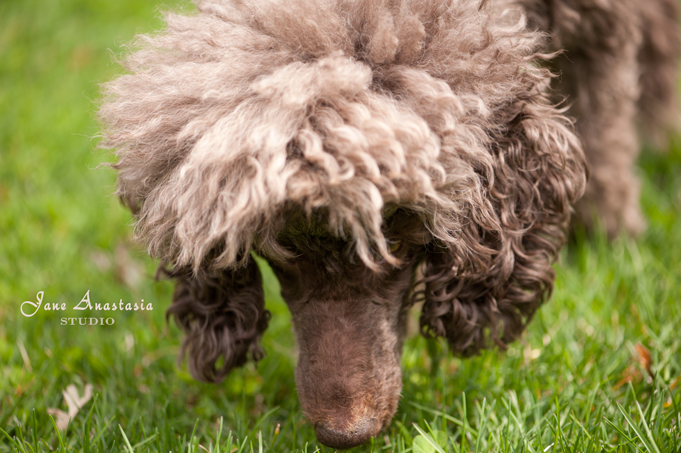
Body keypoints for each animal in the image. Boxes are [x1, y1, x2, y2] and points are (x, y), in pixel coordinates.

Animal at [98, 0, 676, 446]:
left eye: (395, 237)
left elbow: (606, 125)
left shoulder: (604, 27)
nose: (344, 435)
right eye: (282, 253)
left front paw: (611, 235)